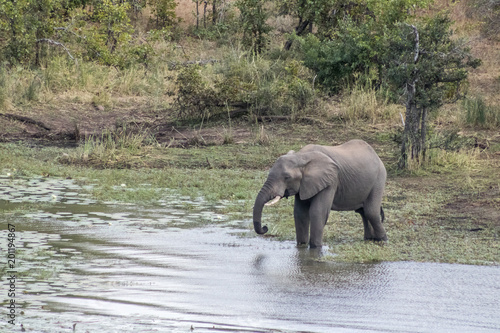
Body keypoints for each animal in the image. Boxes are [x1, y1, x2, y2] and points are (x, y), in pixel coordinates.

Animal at [254, 139, 386, 248]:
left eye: (287, 177)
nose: (265, 227)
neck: (301, 156)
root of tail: (376, 155)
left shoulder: (331, 181)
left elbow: (317, 212)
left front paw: (315, 247)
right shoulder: (305, 184)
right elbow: (300, 213)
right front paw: (302, 245)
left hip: (379, 178)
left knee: (371, 211)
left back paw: (382, 240)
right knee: (363, 212)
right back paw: (370, 239)